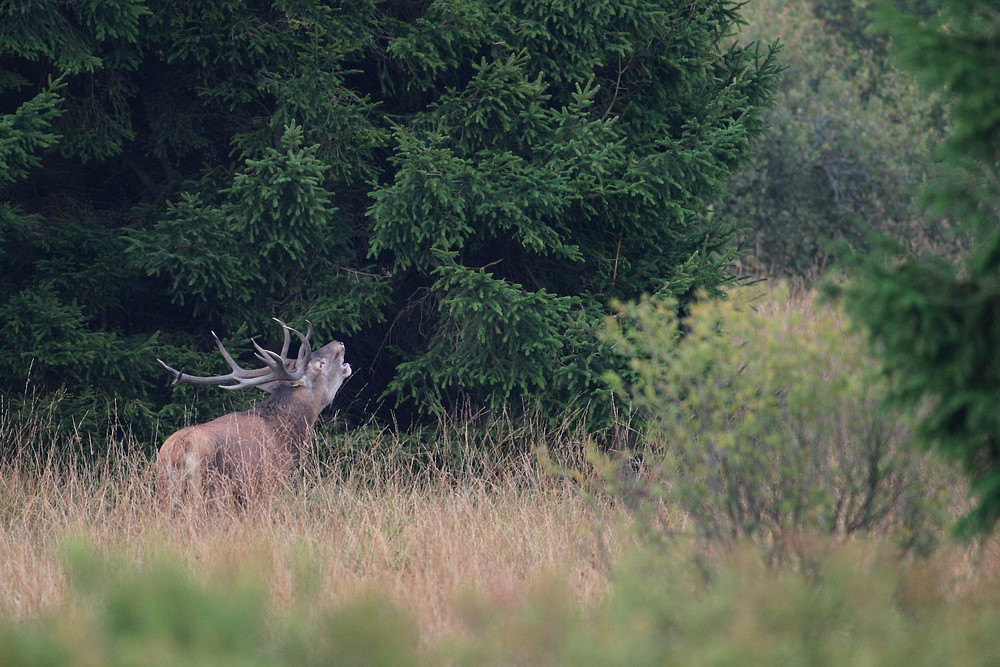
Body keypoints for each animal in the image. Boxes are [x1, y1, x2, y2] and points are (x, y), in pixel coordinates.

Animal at [156, 320, 352, 512]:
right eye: (321, 364)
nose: (340, 343)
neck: (286, 434)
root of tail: (178, 450)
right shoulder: (269, 482)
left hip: (165, 487)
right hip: (207, 487)